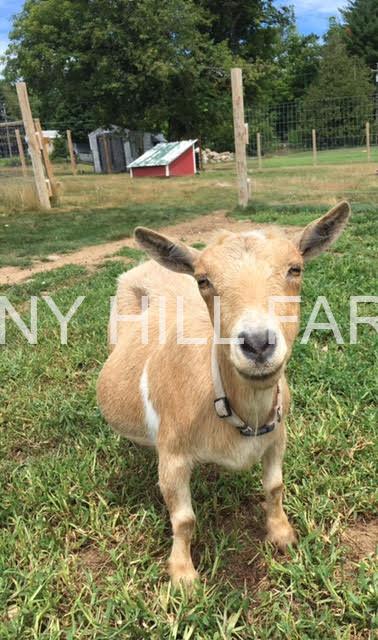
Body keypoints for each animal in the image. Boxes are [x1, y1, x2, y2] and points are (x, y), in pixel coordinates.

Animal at [96, 201, 350, 584]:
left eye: (295, 268)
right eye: (204, 280)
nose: (258, 343)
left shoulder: (278, 436)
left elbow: (275, 486)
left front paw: (282, 535)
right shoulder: (173, 457)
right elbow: (184, 519)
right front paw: (183, 576)